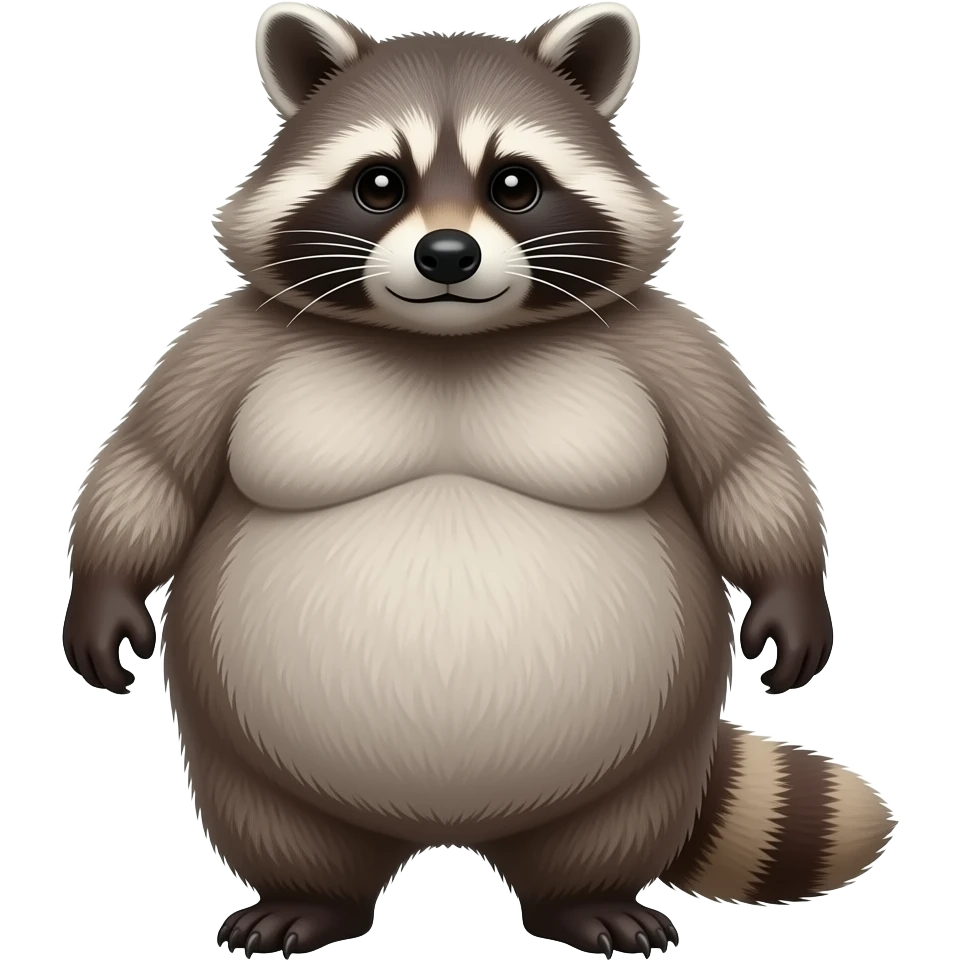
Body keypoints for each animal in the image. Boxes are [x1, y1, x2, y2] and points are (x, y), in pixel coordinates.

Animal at [63, 3, 897, 958]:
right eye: (379, 184)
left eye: (514, 184)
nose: (447, 254)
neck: (448, 342)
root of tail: (450, 831)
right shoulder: (228, 337)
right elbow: (150, 465)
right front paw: (103, 589)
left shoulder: (666, 338)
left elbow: (743, 465)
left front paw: (791, 589)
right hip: (240, 745)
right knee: (276, 821)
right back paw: (311, 897)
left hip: (650, 750)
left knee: (614, 824)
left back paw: (584, 898)